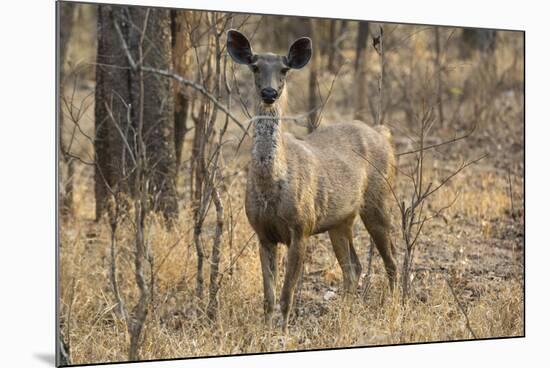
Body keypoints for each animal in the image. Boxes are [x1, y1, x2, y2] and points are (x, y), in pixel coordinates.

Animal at [226, 30, 398, 332]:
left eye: (284, 69)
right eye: (255, 66)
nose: (269, 93)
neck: (271, 188)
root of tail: (383, 133)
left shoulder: (301, 227)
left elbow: (286, 294)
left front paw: (282, 332)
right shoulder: (262, 233)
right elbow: (268, 297)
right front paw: (266, 330)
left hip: (379, 200)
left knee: (392, 261)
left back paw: (396, 307)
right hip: (341, 220)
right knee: (352, 268)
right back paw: (345, 314)